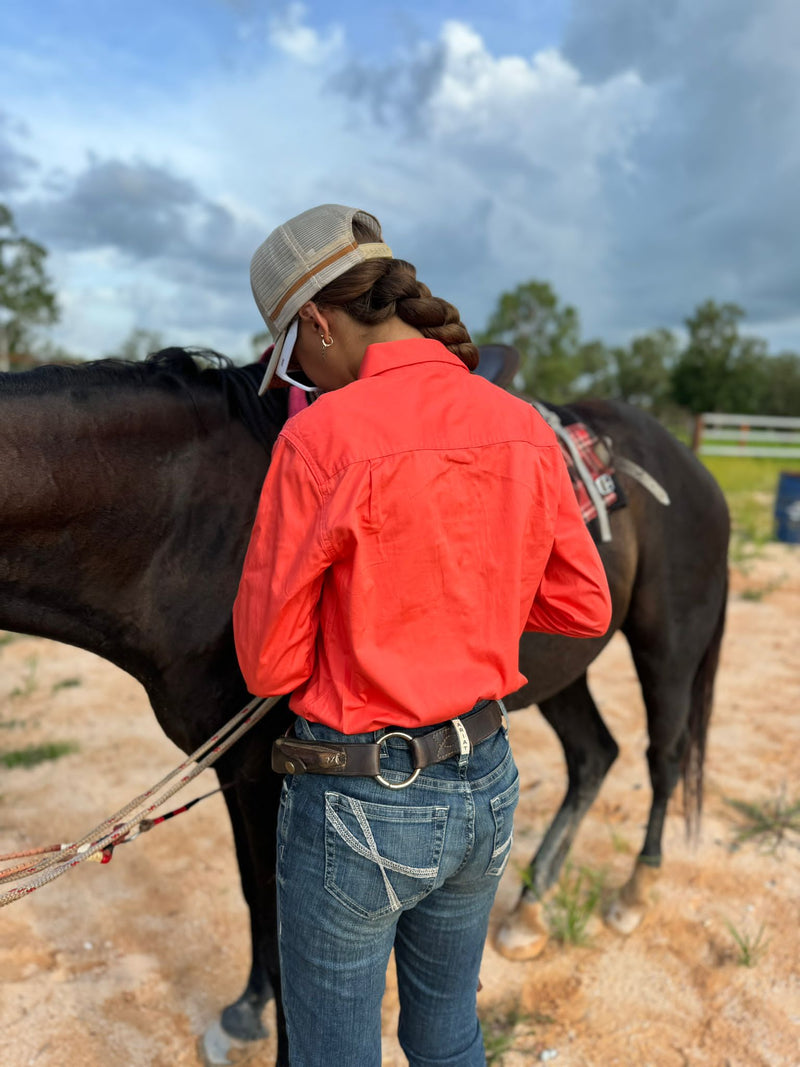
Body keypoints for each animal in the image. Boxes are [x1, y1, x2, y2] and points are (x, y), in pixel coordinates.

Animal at [0, 352, 729, 1067]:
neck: (189, 524)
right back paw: (529, 907)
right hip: (560, 671)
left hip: (667, 644)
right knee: (593, 754)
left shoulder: (268, 770)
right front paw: (245, 1011)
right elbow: (254, 896)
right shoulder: (235, 768)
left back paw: (632, 894)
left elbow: (274, 909)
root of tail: (692, 466)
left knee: (662, 759)